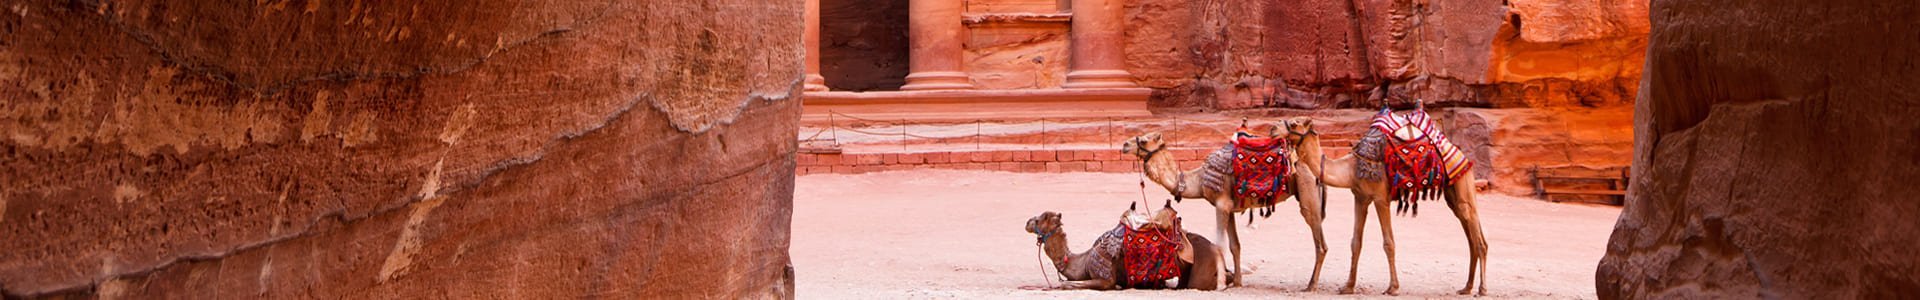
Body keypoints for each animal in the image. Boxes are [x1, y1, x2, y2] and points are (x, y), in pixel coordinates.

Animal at [1121, 117, 1328, 290]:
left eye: (1144, 140)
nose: (1124, 145)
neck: (1199, 179)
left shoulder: (1221, 204)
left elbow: (1219, 245)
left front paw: (1220, 285)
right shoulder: (1229, 208)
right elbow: (1235, 246)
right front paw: (1236, 282)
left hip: (1307, 188)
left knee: (1320, 241)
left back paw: (1311, 286)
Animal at [1320, 101, 1497, 294]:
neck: (1351, 166)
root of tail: (1460, 154)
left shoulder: (1380, 198)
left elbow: (1388, 243)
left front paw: (1393, 288)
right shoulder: (1360, 198)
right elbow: (1355, 243)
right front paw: (1348, 286)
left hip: (1462, 183)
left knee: (1478, 240)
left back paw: (1482, 289)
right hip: (1453, 194)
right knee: (1471, 236)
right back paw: (1466, 287)